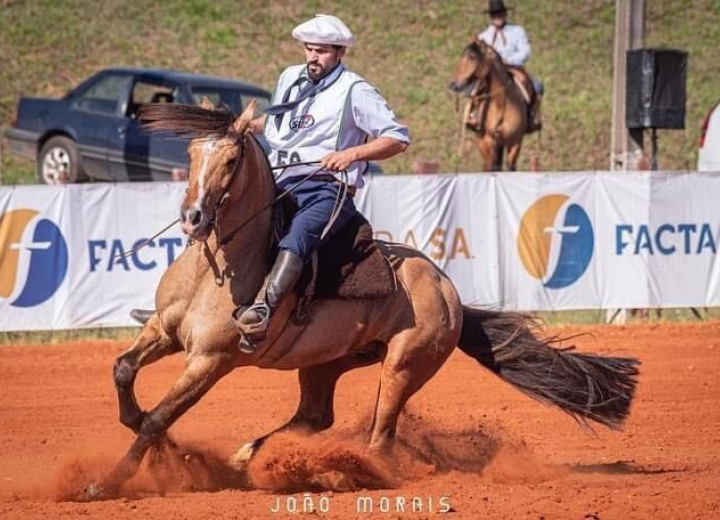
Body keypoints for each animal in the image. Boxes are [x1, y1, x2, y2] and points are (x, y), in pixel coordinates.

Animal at [98, 100, 640, 496]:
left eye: (231, 161)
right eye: (192, 154)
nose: (193, 218)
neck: (221, 268)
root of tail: (449, 290)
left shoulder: (212, 361)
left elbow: (159, 417)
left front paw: (108, 482)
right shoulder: (163, 332)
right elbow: (125, 375)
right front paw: (156, 440)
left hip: (404, 365)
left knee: (378, 440)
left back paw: (338, 470)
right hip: (325, 362)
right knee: (315, 417)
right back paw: (250, 455)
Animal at [450, 39, 540, 173]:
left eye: (472, 57)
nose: (453, 84)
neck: (501, 105)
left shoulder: (515, 141)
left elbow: (510, 167)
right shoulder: (487, 141)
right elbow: (492, 166)